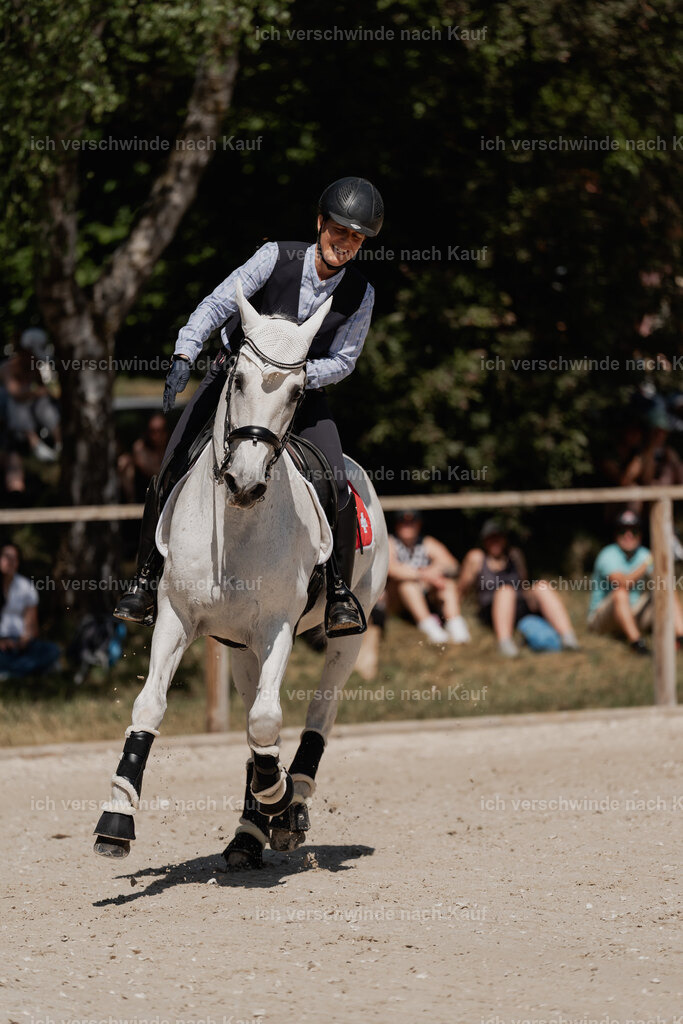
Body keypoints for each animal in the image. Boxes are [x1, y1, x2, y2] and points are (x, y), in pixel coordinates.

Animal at [93, 281, 388, 867]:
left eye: (298, 391)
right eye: (237, 379)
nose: (245, 482)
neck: (237, 528)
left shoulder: (277, 627)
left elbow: (265, 722)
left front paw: (279, 798)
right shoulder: (177, 618)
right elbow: (151, 706)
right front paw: (116, 819)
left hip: (346, 637)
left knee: (319, 711)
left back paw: (290, 805)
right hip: (239, 647)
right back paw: (249, 834)